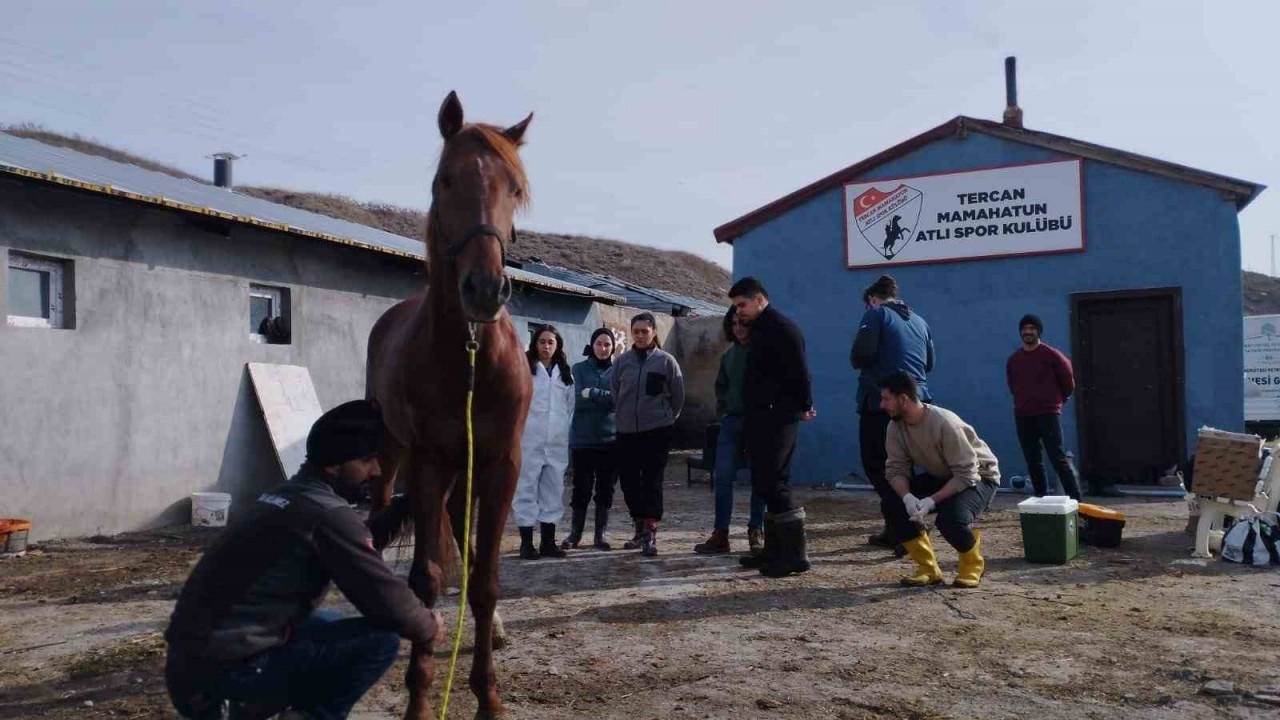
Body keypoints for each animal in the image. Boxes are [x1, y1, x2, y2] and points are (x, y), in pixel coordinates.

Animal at [368, 90, 532, 717]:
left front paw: (489, 696)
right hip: (395, 458)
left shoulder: (501, 464)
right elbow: (426, 578)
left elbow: (484, 580)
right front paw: (419, 697)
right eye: (444, 180)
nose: (484, 290)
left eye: (515, 187)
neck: (468, 357)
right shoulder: (429, 464)